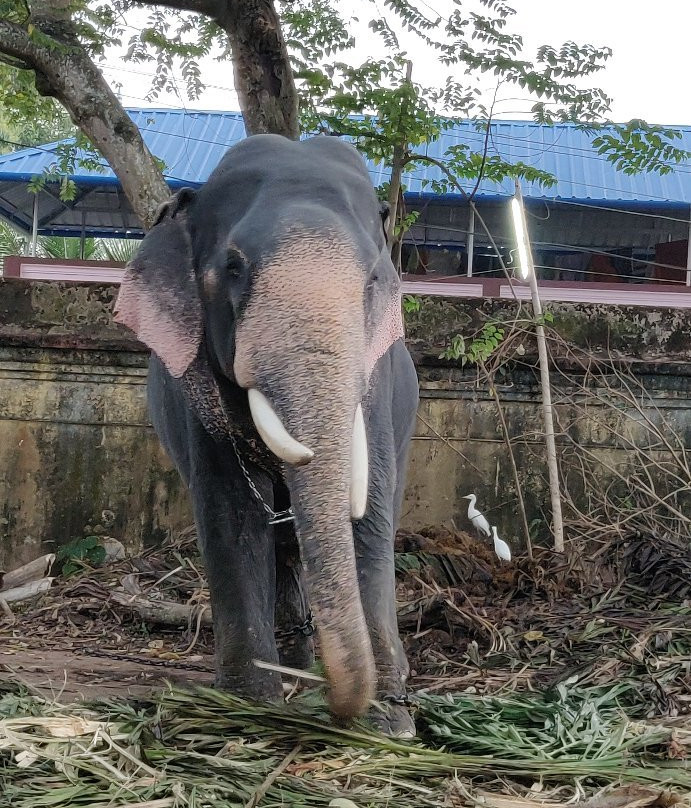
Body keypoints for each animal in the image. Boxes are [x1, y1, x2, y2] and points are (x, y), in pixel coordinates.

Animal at [114, 134, 418, 740]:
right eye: (233, 267)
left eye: (373, 280)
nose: (340, 708)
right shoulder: (199, 391)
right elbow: (231, 514)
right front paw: (247, 711)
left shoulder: (375, 382)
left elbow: (370, 510)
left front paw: (389, 725)